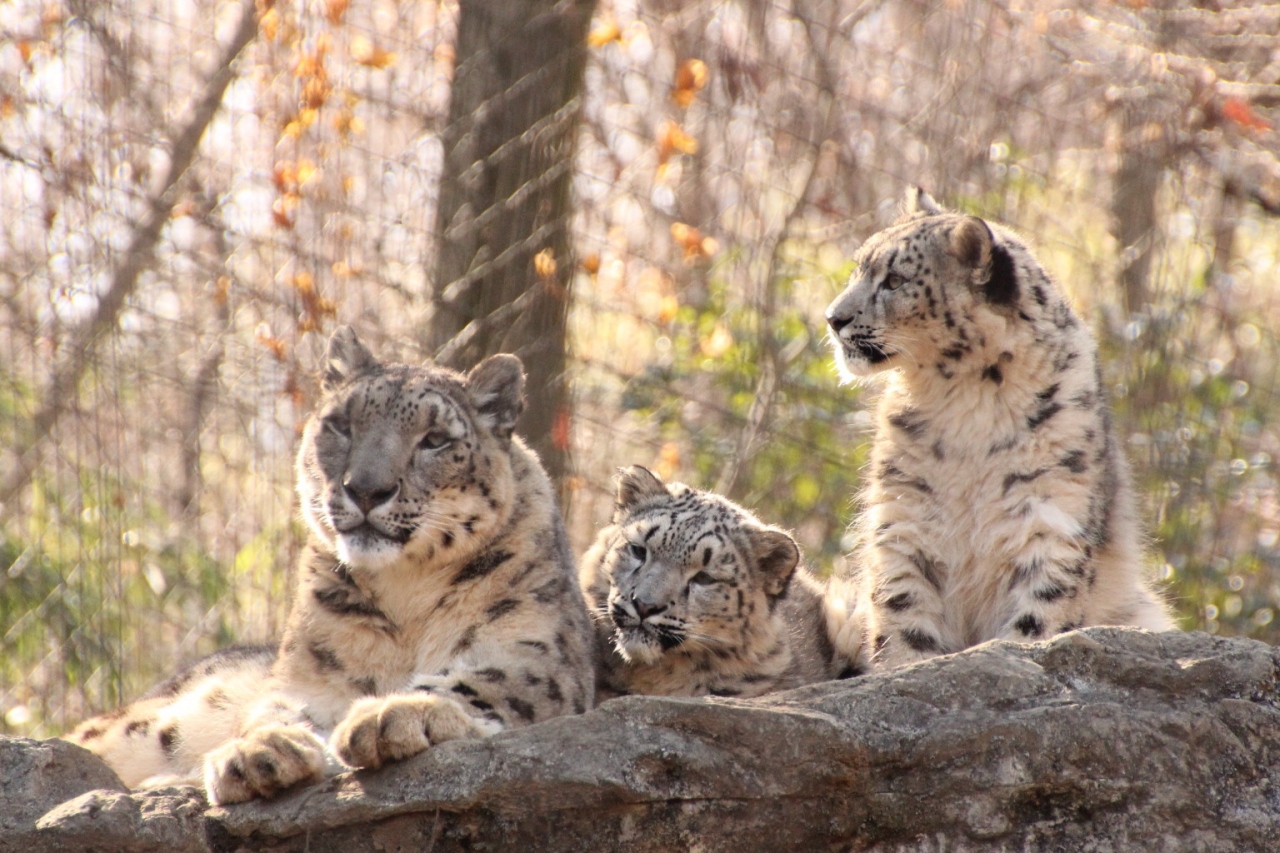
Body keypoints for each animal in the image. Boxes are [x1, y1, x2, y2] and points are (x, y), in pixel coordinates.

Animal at [64, 324, 593, 799]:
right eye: (341, 424)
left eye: (435, 439)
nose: (366, 489)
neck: (408, 593)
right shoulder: (311, 679)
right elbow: (278, 709)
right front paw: (257, 752)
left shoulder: (530, 653)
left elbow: (471, 681)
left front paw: (391, 713)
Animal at [824, 188, 1172, 671]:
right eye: (858, 267)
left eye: (894, 280)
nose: (832, 318)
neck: (966, 399)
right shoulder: (904, 515)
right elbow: (901, 615)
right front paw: (903, 666)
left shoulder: (1051, 516)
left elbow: (1038, 617)